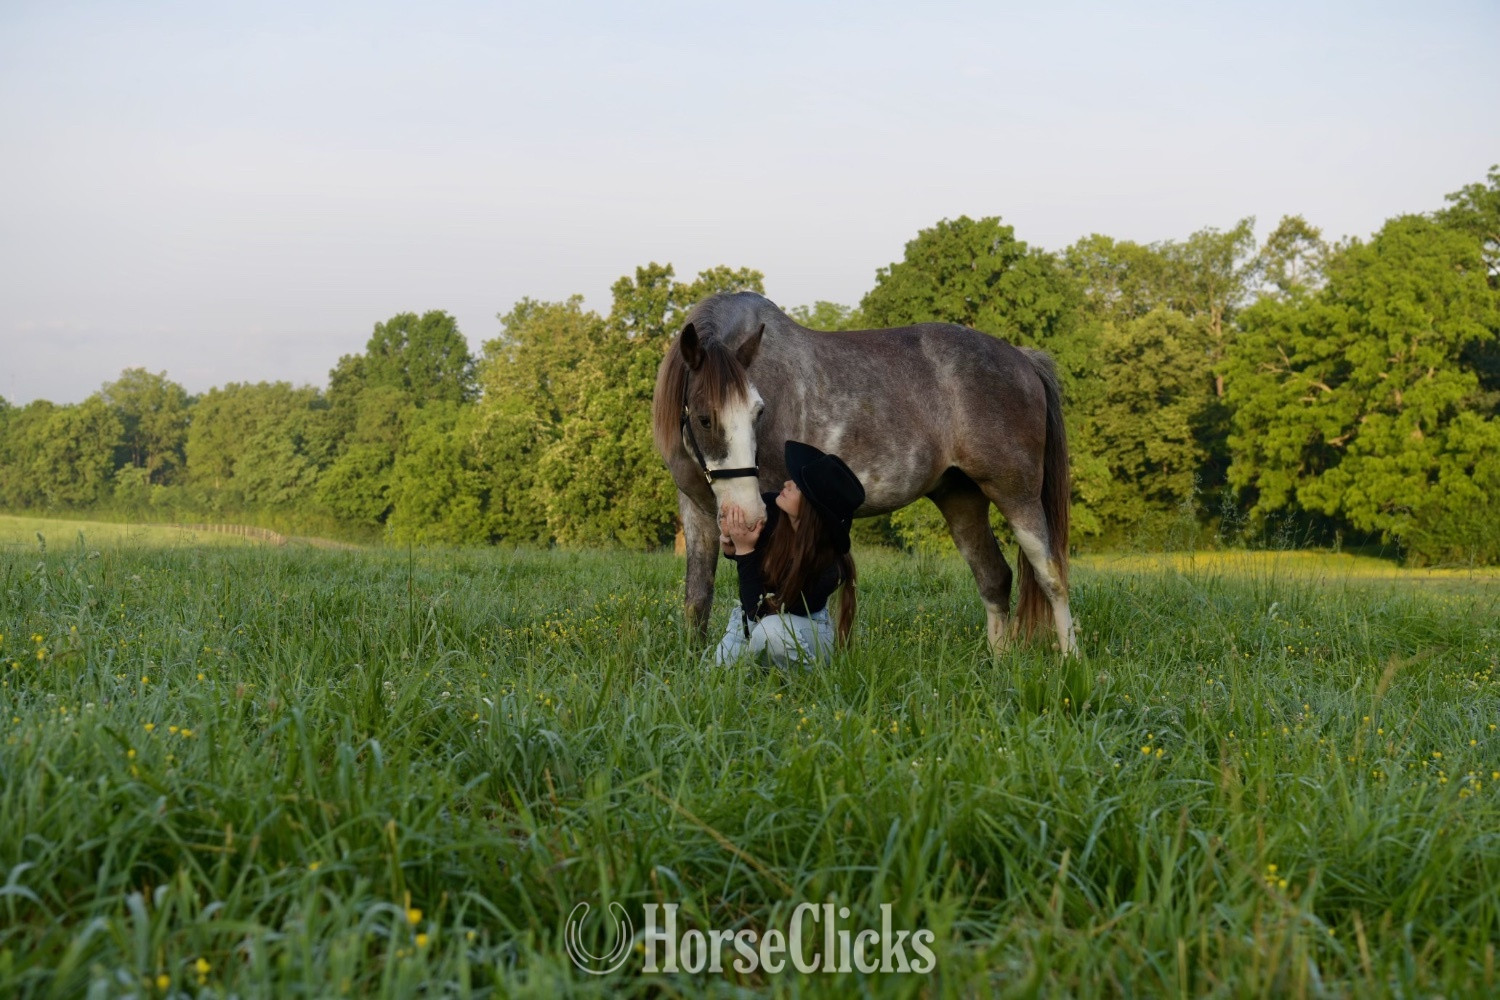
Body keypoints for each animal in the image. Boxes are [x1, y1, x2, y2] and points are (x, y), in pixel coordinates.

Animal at [652, 291, 1077, 655]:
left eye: (759, 412)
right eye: (705, 418)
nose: (747, 516)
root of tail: (1022, 359)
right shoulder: (695, 510)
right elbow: (697, 597)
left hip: (1017, 495)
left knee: (1052, 576)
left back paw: (1072, 661)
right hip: (962, 499)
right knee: (994, 578)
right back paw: (998, 663)